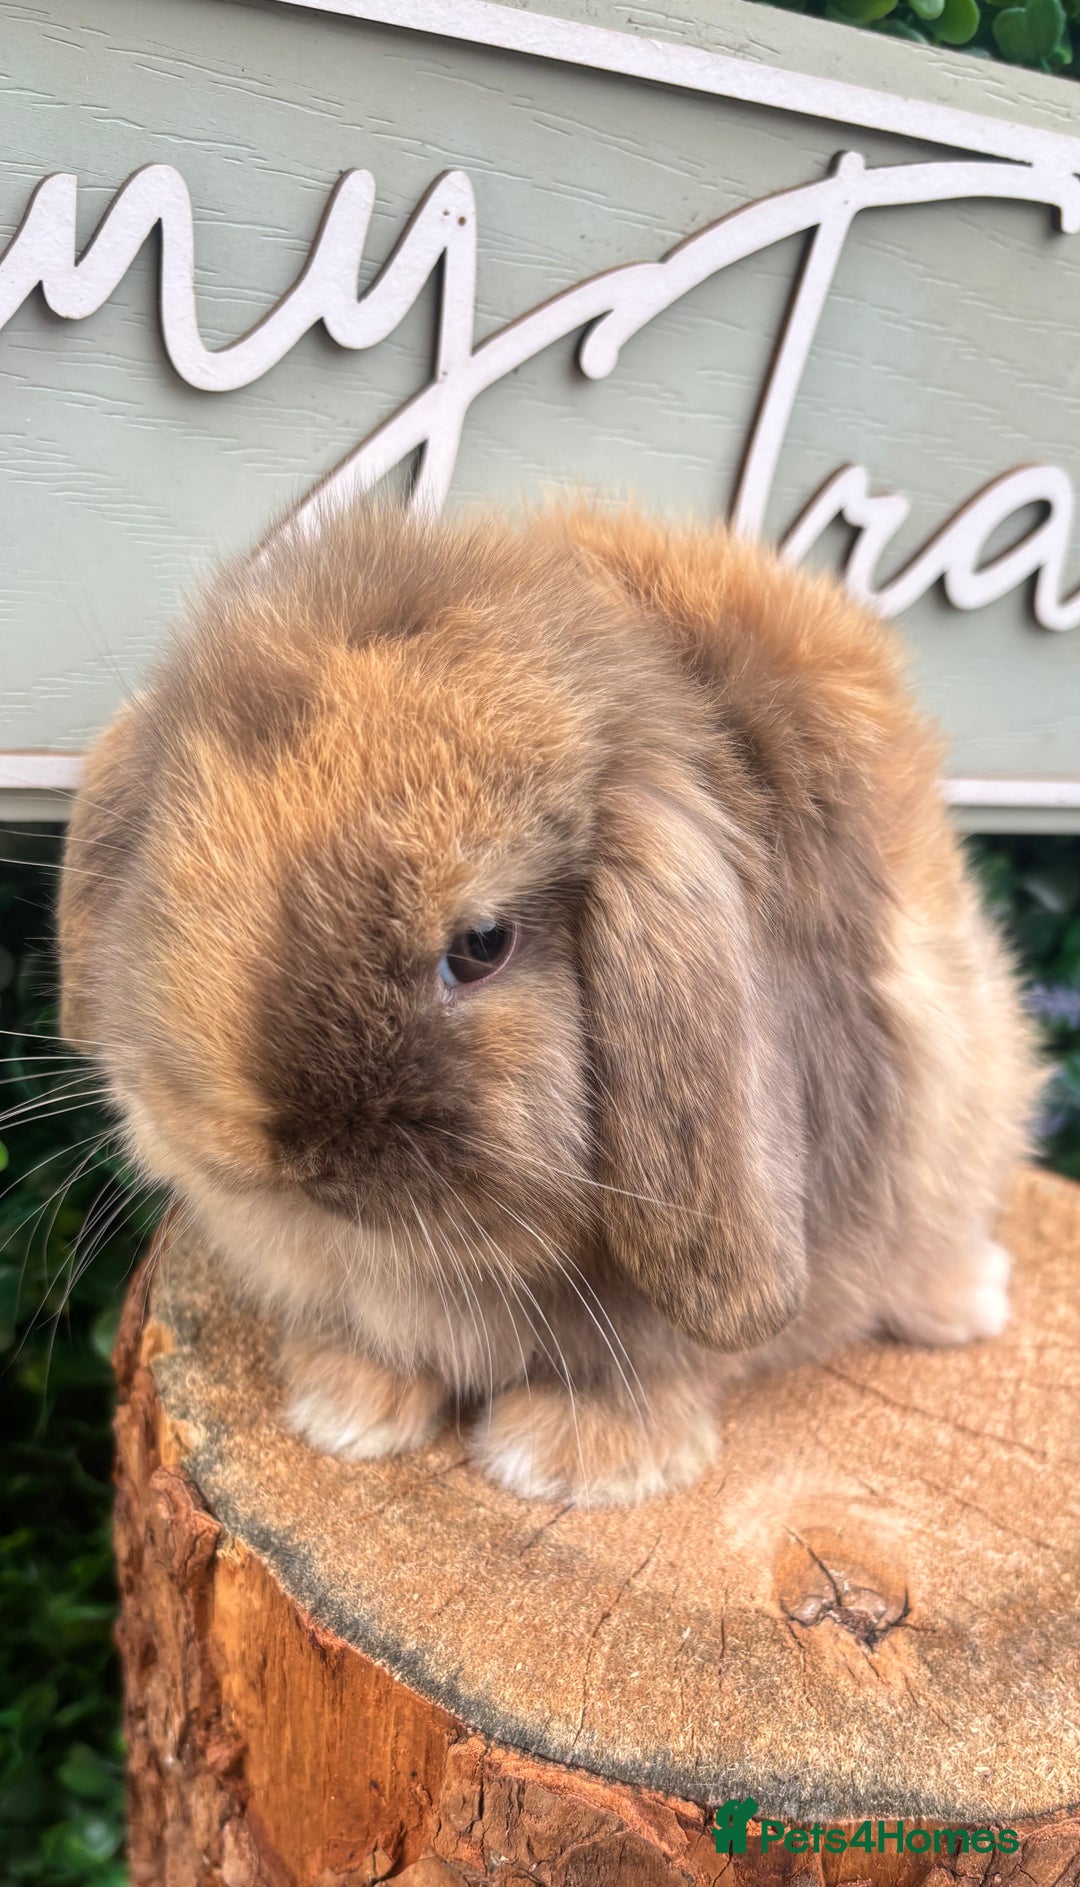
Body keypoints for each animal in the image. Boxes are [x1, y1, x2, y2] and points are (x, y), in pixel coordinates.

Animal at [58, 499, 1042, 1506]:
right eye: (178, 876)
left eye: (482, 944)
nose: (295, 1152)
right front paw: (347, 1409)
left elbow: (648, 1371)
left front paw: (568, 1462)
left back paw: (963, 1303)